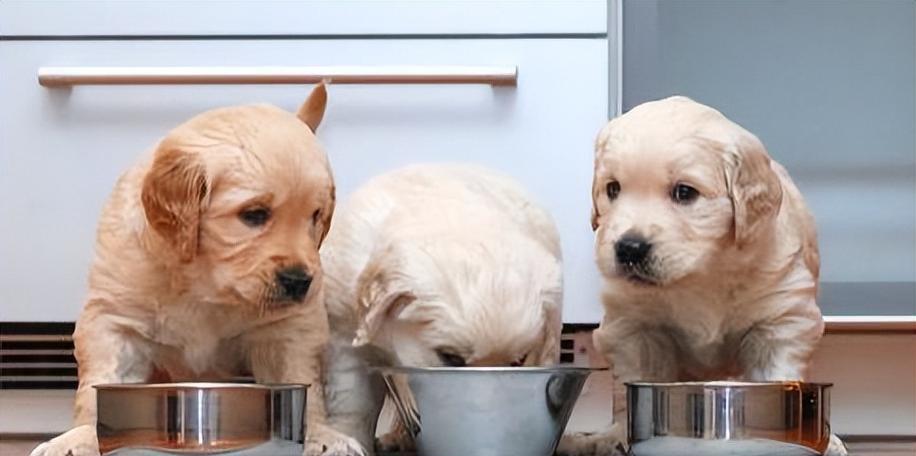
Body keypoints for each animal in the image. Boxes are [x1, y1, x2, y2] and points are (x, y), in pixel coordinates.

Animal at [28, 84, 360, 456]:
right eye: (254, 214)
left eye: (316, 216)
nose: (300, 281)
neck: (204, 283)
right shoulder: (114, 318)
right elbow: (97, 385)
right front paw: (80, 437)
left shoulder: (288, 328)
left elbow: (304, 383)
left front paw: (321, 434)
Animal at [588, 97, 844, 456]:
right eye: (613, 189)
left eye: (684, 192)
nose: (629, 248)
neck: (703, 272)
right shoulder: (633, 325)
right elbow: (633, 381)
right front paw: (618, 436)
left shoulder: (781, 319)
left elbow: (778, 374)